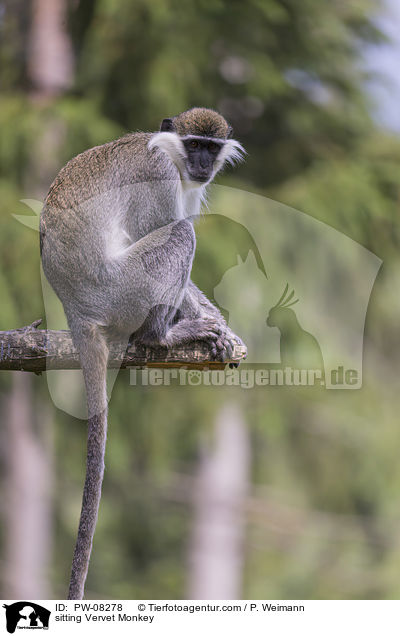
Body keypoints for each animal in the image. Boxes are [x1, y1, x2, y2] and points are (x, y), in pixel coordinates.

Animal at [40, 107, 247, 600]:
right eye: (194, 144)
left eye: (210, 148)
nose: (202, 165)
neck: (169, 153)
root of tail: (76, 307)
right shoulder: (158, 179)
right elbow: (158, 229)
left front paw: (226, 332)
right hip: (124, 288)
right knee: (181, 234)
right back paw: (160, 337)